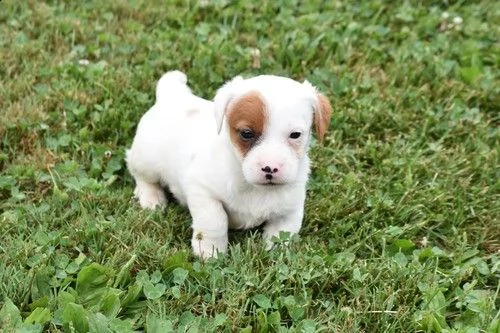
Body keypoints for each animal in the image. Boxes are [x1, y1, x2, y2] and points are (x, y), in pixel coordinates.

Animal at [126, 70, 332, 260]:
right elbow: (215, 220)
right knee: (140, 174)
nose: (270, 168)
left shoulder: (291, 208)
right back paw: (151, 197)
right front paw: (210, 252)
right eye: (247, 133)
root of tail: (172, 95)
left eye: (295, 135)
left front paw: (276, 255)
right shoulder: (202, 190)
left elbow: (283, 232)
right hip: (146, 160)